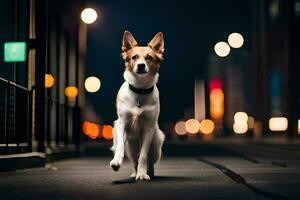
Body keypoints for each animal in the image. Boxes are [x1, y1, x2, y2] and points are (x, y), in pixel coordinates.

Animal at [110, 30, 165, 181]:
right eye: (134, 57)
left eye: (149, 58)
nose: (141, 65)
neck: (140, 91)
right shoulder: (121, 123)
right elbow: (120, 147)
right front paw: (116, 161)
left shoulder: (149, 129)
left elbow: (144, 155)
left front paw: (142, 173)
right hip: (131, 145)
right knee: (133, 158)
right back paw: (134, 171)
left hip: (157, 140)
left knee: (148, 160)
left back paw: (147, 172)